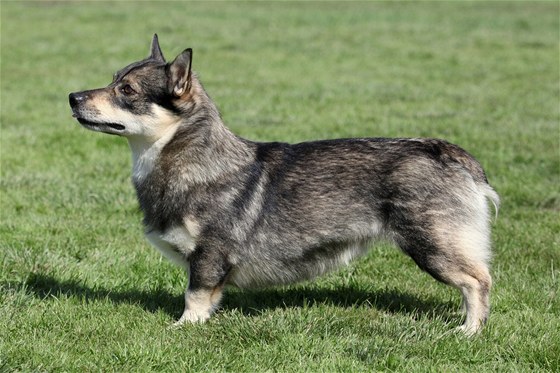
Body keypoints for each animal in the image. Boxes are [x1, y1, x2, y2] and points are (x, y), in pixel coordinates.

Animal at [69, 35, 498, 334]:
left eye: (127, 91)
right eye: (113, 80)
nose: (72, 96)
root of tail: (451, 154)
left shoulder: (208, 256)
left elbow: (195, 296)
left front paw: (184, 327)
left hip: (431, 245)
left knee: (479, 281)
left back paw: (469, 331)